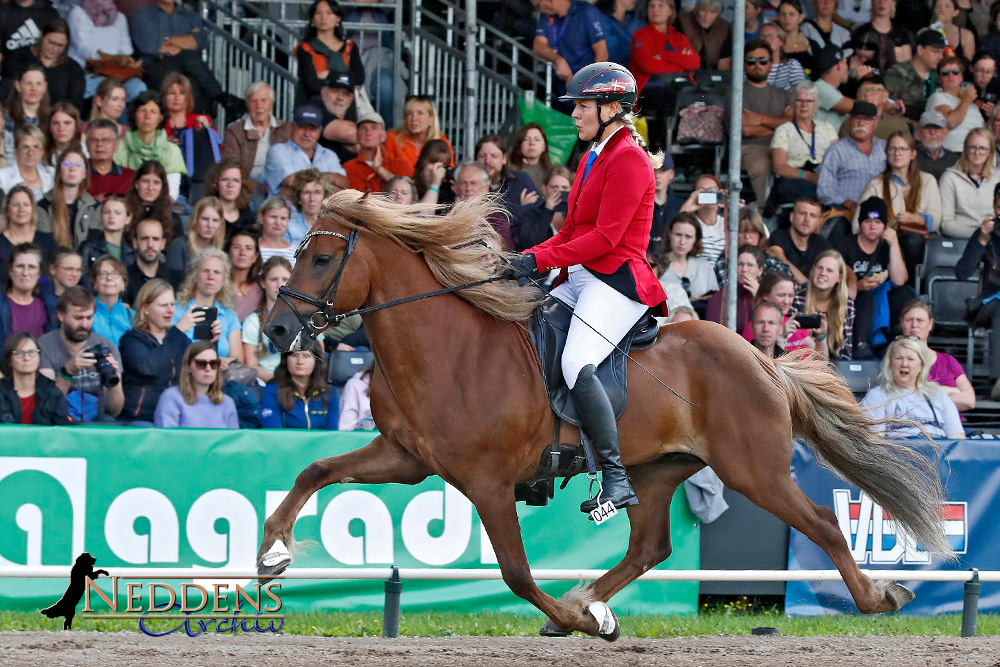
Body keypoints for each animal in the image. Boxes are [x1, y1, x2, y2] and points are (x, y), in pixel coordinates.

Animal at [258, 190, 952, 640]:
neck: (444, 347)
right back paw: (592, 599)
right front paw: (272, 553)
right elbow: (315, 470)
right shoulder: (403, 458)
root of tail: (760, 359)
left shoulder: (487, 482)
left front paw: (572, 620)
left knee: (823, 524)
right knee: (650, 546)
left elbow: (515, 572)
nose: (276, 329)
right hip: (656, 469)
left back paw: (878, 596)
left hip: (755, 472)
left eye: (322, 259)